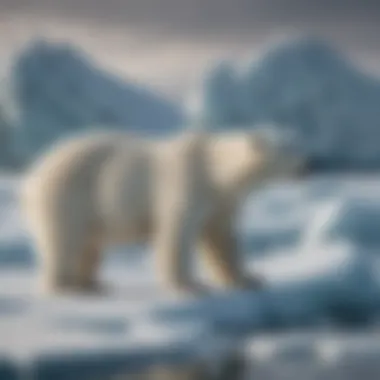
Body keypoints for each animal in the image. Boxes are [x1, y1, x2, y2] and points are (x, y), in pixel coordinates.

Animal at [20, 127, 306, 296]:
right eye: (289, 151)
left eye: (295, 145)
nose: (309, 163)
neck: (214, 171)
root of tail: (32, 178)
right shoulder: (187, 184)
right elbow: (176, 234)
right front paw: (190, 286)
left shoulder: (220, 200)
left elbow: (222, 239)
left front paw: (249, 278)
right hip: (67, 195)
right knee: (65, 240)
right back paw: (66, 286)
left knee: (89, 246)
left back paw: (93, 284)